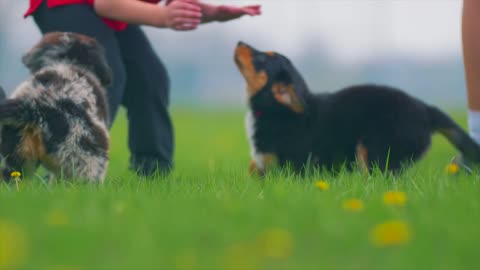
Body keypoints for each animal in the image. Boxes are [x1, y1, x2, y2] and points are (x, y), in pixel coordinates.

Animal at [234, 41, 480, 174]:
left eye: (262, 59)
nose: (239, 42)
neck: (275, 109)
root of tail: (426, 109)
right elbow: (253, 168)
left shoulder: (290, 165)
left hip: (373, 148)